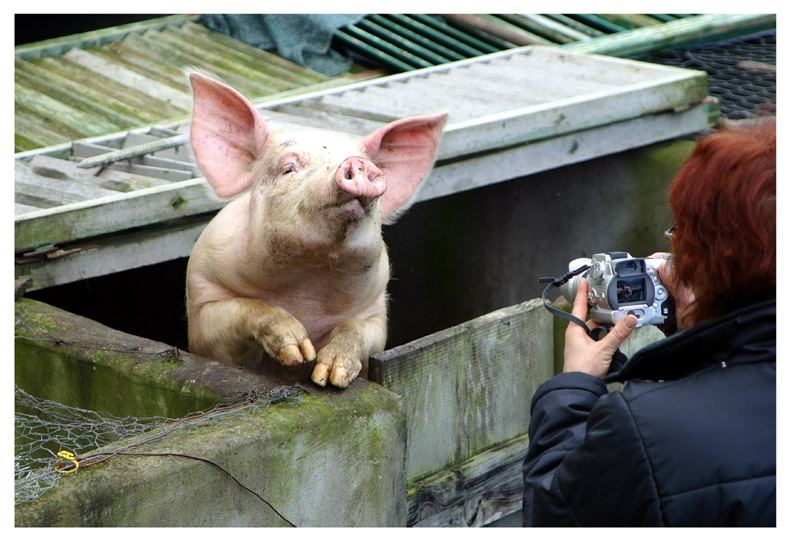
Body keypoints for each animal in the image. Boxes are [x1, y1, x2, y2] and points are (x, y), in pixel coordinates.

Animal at [183, 74, 448, 390]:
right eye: (288, 168)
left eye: (362, 161)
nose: (357, 163)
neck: (309, 284)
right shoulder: (202, 299)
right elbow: (246, 309)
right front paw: (299, 352)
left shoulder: (375, 312)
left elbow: (357, 329)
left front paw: (328, 376)